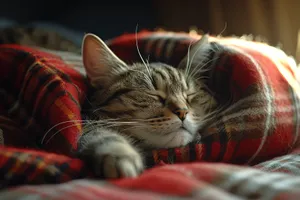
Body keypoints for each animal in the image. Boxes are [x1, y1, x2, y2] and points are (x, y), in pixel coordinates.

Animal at [77, 32, 218, 178]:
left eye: (190, 94)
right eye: (153, 94)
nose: (182, 111)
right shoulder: (88, 121)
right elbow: (100, 134)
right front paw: (120, 153)